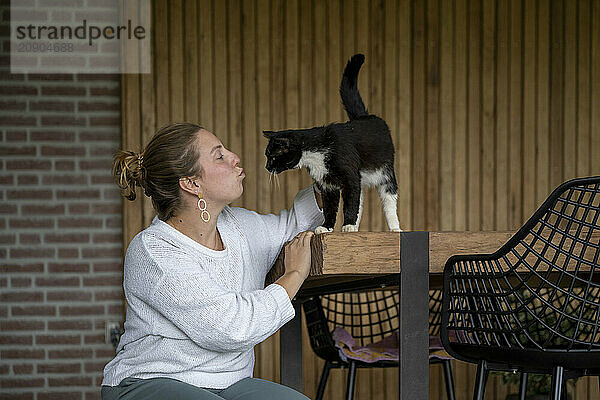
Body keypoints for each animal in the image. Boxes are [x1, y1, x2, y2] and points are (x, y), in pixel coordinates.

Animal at [264, 54, 400, 233]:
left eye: (272, 157)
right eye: (266, 156)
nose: (267, 167)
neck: (315, 154)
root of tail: (363, 116)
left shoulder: (350, 178)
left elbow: (350, 204)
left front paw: (348, 224)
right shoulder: (326, 184)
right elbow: (330, 207)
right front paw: (326, 227)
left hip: (385, 172)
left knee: (388, 200)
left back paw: (394, 227)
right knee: (360, 201)